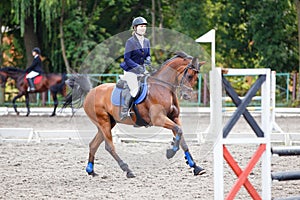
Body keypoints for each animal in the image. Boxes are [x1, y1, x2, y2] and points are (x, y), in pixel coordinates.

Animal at [62, 51, 207, 178]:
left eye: (196, 78)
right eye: (189, 75)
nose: (187, 96)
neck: (163, 87)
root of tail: (91, 91)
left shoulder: (174, 118)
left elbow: (182, 139)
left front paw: (196, 168)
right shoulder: (158, 119)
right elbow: (179, 132)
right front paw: (170, 152)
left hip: (107, 123)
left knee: (93, 144)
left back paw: (91, 171)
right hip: (104, 123)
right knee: (109, 147)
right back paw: (127, 170)